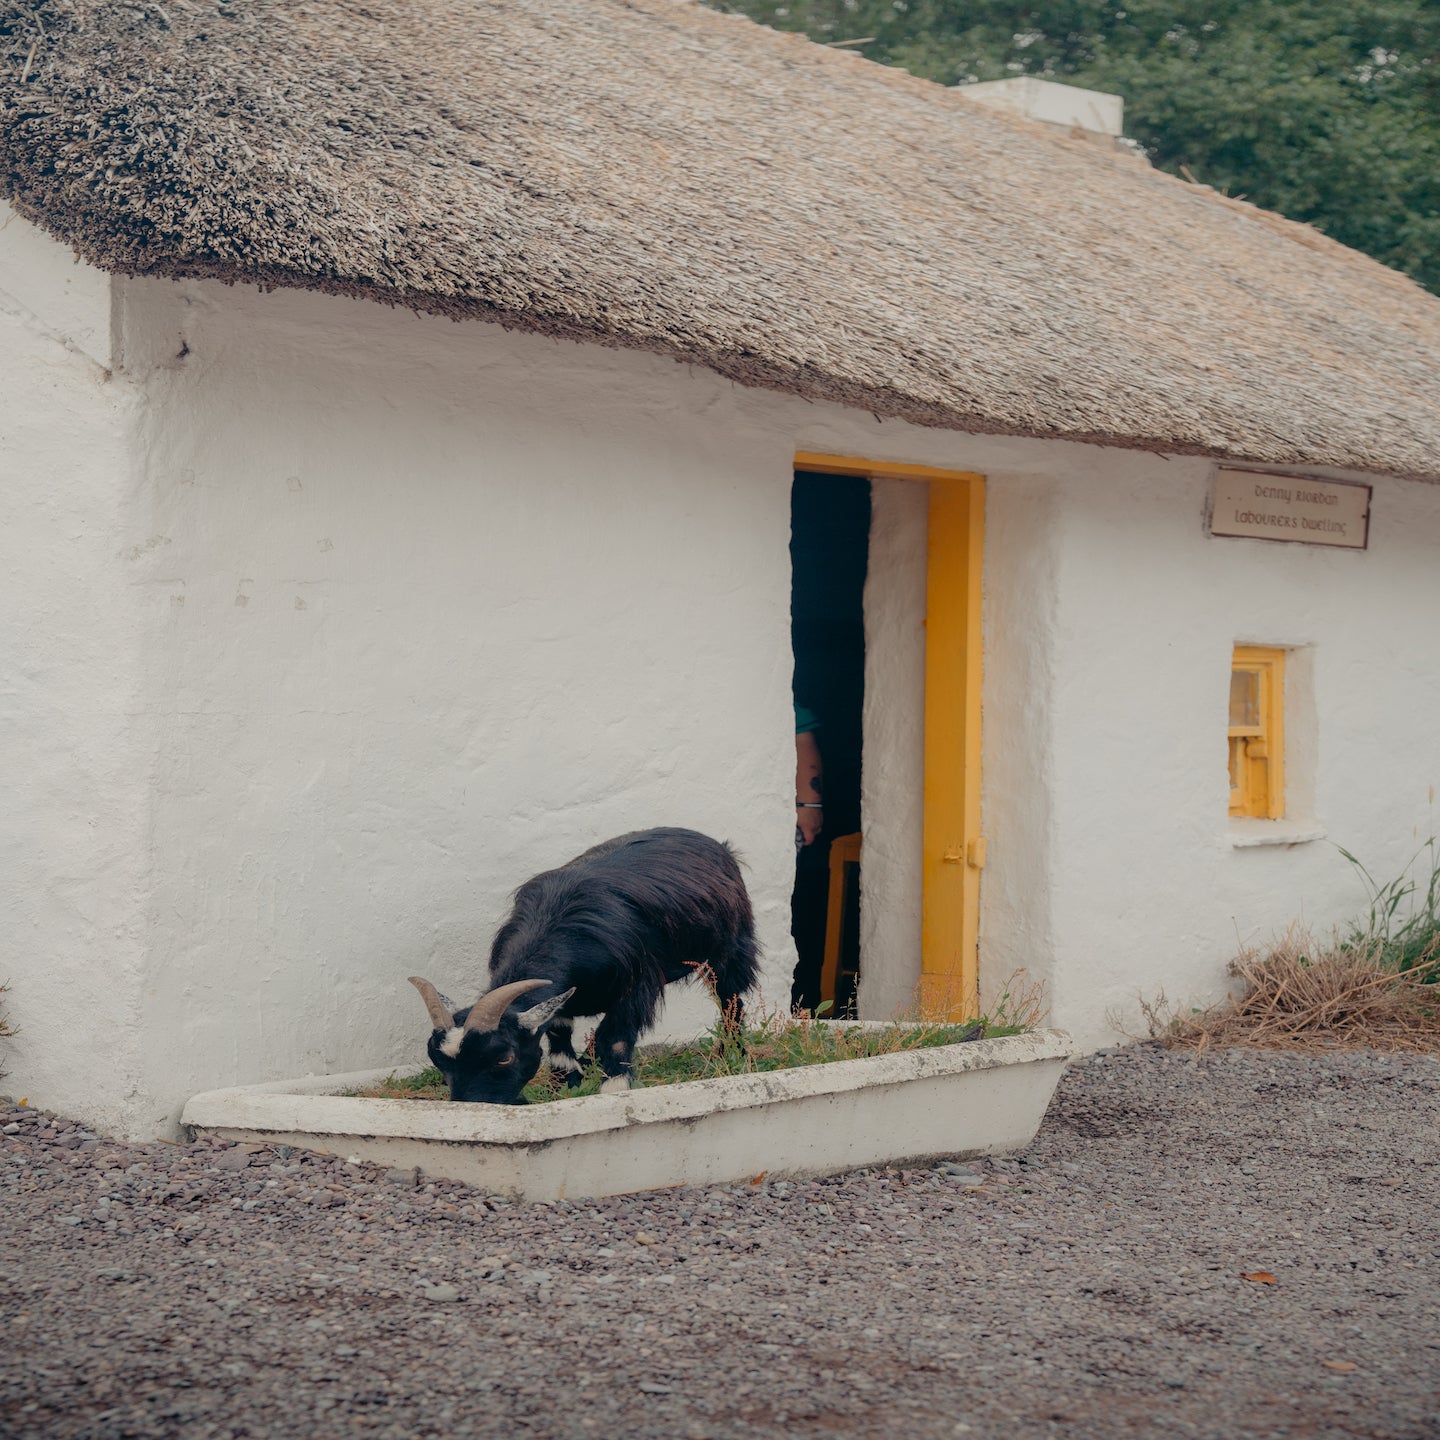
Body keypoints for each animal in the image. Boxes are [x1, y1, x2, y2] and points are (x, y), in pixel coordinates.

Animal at [409, 827, 758, 1104]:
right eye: (438, 1061)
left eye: (504, 1057)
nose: (474, 1105)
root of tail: (717, 845)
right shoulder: (562, 1000)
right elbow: (559, 1038)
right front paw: (565, 1085)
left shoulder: (636, 987)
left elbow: (614, 1038)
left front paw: (613, 1089)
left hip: (729, 950)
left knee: (731, 1001)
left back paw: (732, 1055)